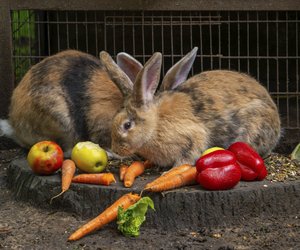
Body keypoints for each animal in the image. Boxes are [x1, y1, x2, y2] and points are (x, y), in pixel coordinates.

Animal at [109, 47, 282, 168]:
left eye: (127, 125)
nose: (116, 150)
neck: (155, 124)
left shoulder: (192, 138)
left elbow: (187, 157)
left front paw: (170, 171)